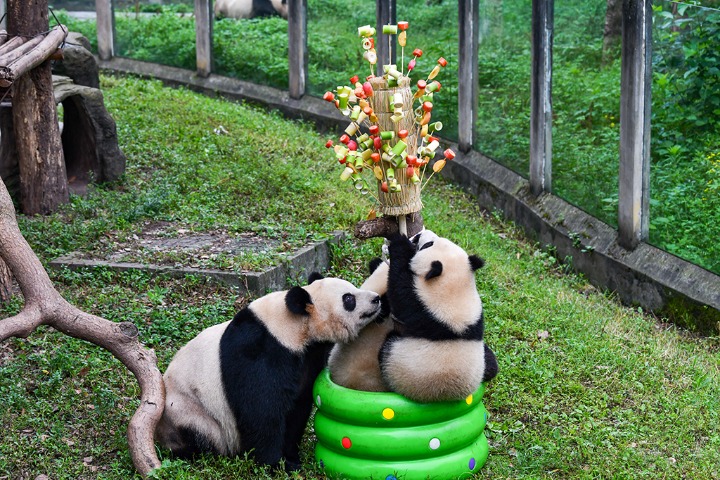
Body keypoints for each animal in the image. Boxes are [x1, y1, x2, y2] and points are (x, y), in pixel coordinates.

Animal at [155, 272, 386, 470]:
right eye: (348, 299)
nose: (376, 299)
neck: (293, 326)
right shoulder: (259, 351)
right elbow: (261, 410)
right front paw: (275, 464)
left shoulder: (307, 357)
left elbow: (297, 406)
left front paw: (291, 457)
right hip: (188, 409)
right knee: (200, 434)